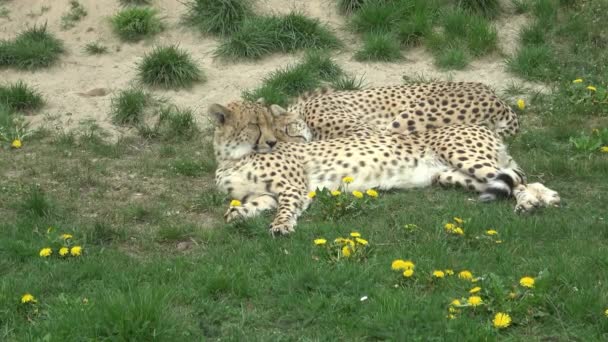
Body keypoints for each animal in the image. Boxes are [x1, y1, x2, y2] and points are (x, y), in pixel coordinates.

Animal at [211, 101, 560, 235]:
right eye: (255, 124)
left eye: (264, 123)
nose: (271, 142)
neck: (230, 157)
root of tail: (484, 127)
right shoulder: (266, 194)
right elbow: (246, 206)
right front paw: (238, 214)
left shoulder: (294, 188)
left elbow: (285, 210)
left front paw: (281, 225)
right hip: (449, 175)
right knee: (515, 180)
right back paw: (541, 199)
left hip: (464, 155)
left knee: (521, 181)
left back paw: (533, 202)